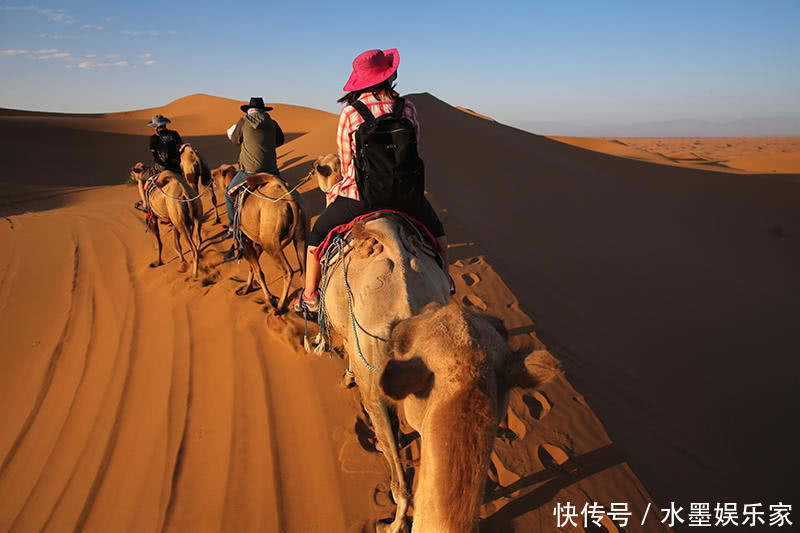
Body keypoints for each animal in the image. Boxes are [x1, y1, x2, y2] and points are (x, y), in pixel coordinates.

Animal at [211, 164, 308, 310]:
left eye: (214, 175)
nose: (210, 178)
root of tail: (290, 198)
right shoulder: (257, 244)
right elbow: (252, 268)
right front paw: (245, 289)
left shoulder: (245, 241)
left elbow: (258, 271)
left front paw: (270, 298)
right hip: (301, 236)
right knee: (304, 270)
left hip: (271, 244)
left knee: (288, 271)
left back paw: (279, 306)